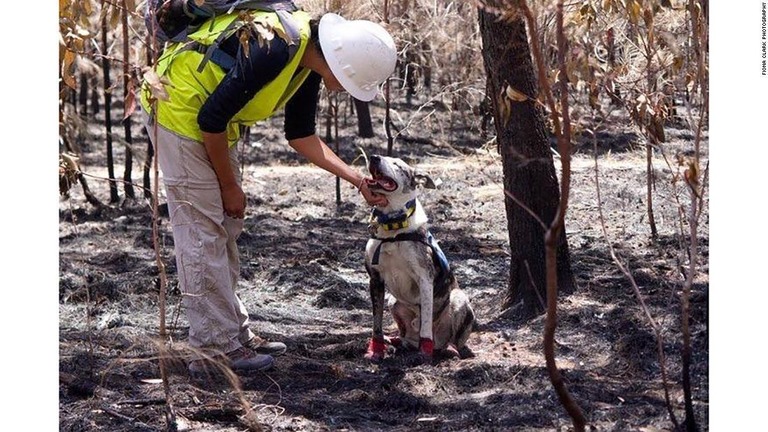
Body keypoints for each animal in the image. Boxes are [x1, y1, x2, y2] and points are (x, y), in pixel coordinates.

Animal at [362, 154, 474, 362]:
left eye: (397, 164)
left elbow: (426, 322)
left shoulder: (424, 278)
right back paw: (396, 341)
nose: (374, 157)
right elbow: (376, 322)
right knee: (406, 335)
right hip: (393, 301)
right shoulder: (375, 278)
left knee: (451, 339)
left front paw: (424, 351)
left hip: (458, 297)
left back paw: (448, 349)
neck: (394, 229)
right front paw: (376, 349)